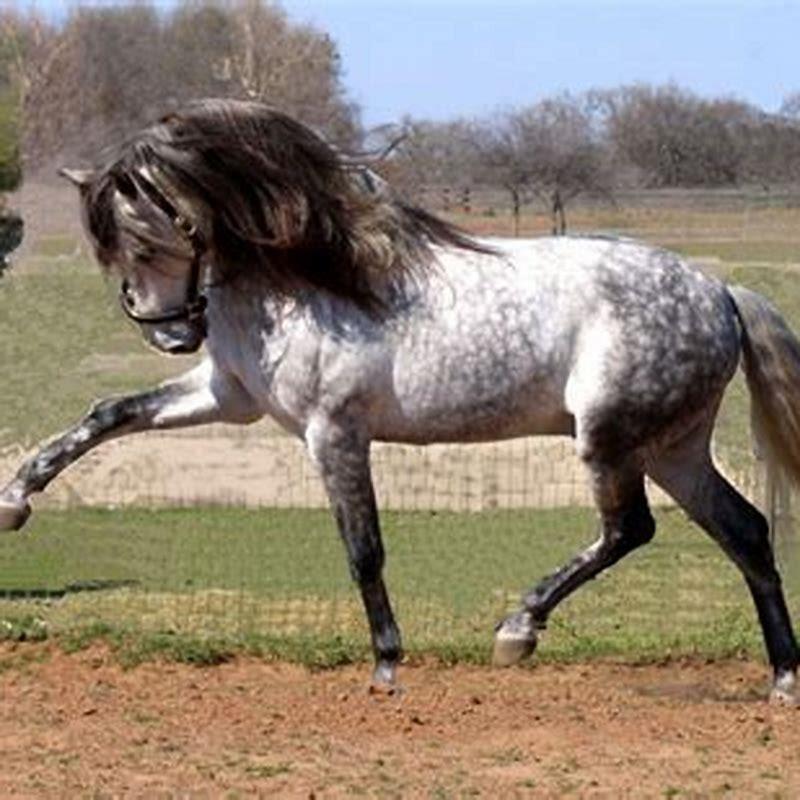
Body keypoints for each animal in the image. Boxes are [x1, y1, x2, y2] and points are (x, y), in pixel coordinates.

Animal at [0, 99, 798, 703]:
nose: (170, 333)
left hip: (610, 439)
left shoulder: (334, 433)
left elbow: (364, 549)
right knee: (745, 530)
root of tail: (718, 291)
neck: (307, 281)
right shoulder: (228, 395)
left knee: (631, 528)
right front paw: (15, 500)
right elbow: (107, 415)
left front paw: (386, 663)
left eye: (156, 236)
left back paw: (517, 630)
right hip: (671, 448)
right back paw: (782, 679)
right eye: (114, 248)